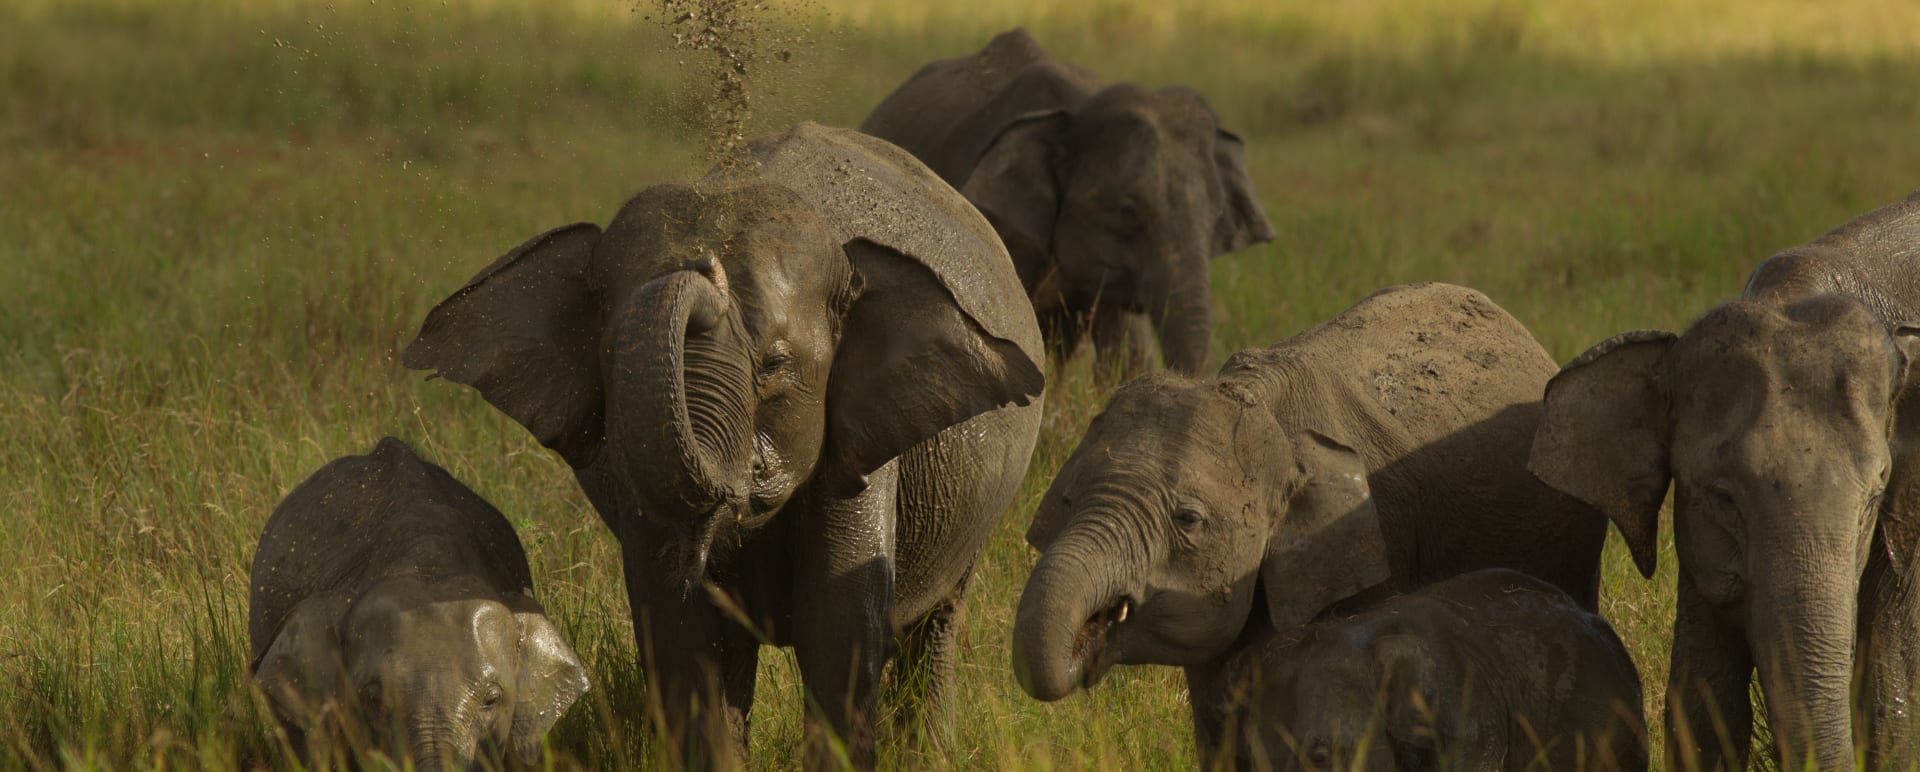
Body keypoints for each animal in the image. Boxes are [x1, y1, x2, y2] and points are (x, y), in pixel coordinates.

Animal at [402, 123, 1045, 768]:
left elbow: (839, 628)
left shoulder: (860, 450)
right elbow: (680, 631)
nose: (704, 264)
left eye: (775, 365)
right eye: (613, 359)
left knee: (935, 624)